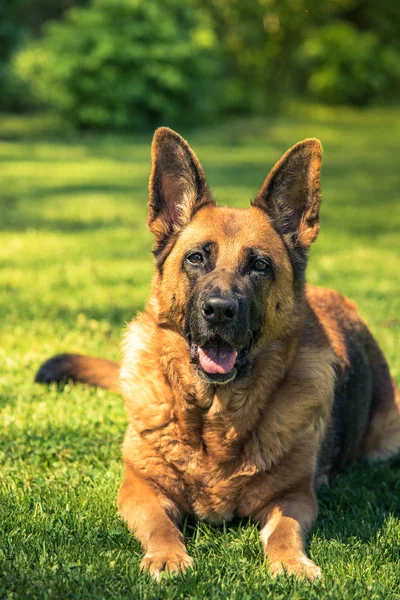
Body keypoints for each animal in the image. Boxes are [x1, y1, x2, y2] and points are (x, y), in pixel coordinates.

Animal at [36, 129, 400, 580]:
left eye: (260, 265)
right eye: (196, 258)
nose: (220, 310)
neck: (215, 415)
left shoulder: (294, 497)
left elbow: (285, 531)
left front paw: (292, 563)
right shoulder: (139, 488)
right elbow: (158, 525)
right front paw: (167, 555)